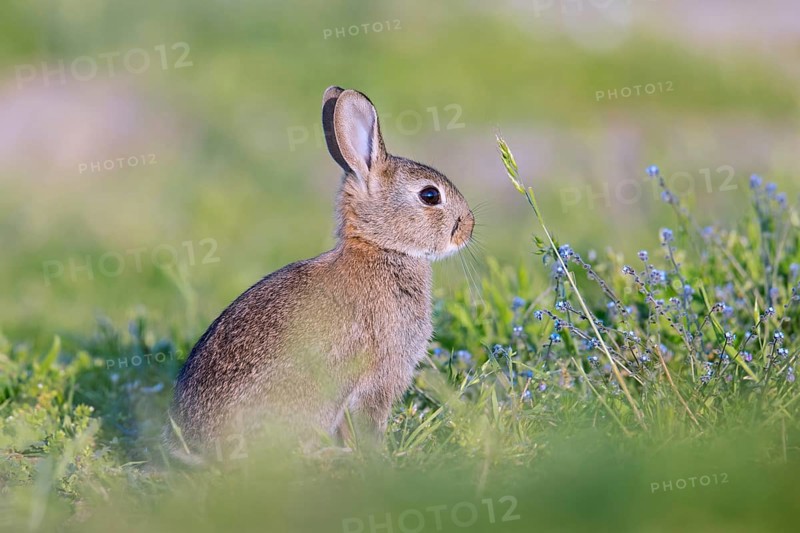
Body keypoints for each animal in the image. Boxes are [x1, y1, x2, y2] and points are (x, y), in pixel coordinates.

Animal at [165, 86, 474, 461]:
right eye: (430, 195)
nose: (469, 227)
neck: (379, 247)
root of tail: (201, 450)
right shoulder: (381, 376)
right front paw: (378, 456)